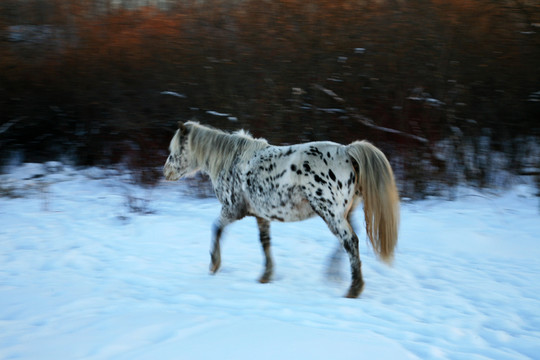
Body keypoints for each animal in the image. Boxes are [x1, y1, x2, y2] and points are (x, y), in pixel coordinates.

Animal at [162, 121, 398, 298]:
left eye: (175, 150)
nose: (165, 172)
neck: (231, 161)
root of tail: (347, 152)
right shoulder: (261, 215)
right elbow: (265, 243)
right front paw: (266, 276)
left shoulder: (232, 210)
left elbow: (216, 229)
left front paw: (214, 264)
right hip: (343, 213)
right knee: (346, 242)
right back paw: (333, 274)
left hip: (330, 213)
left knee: (349, 241)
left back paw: (353, 288)